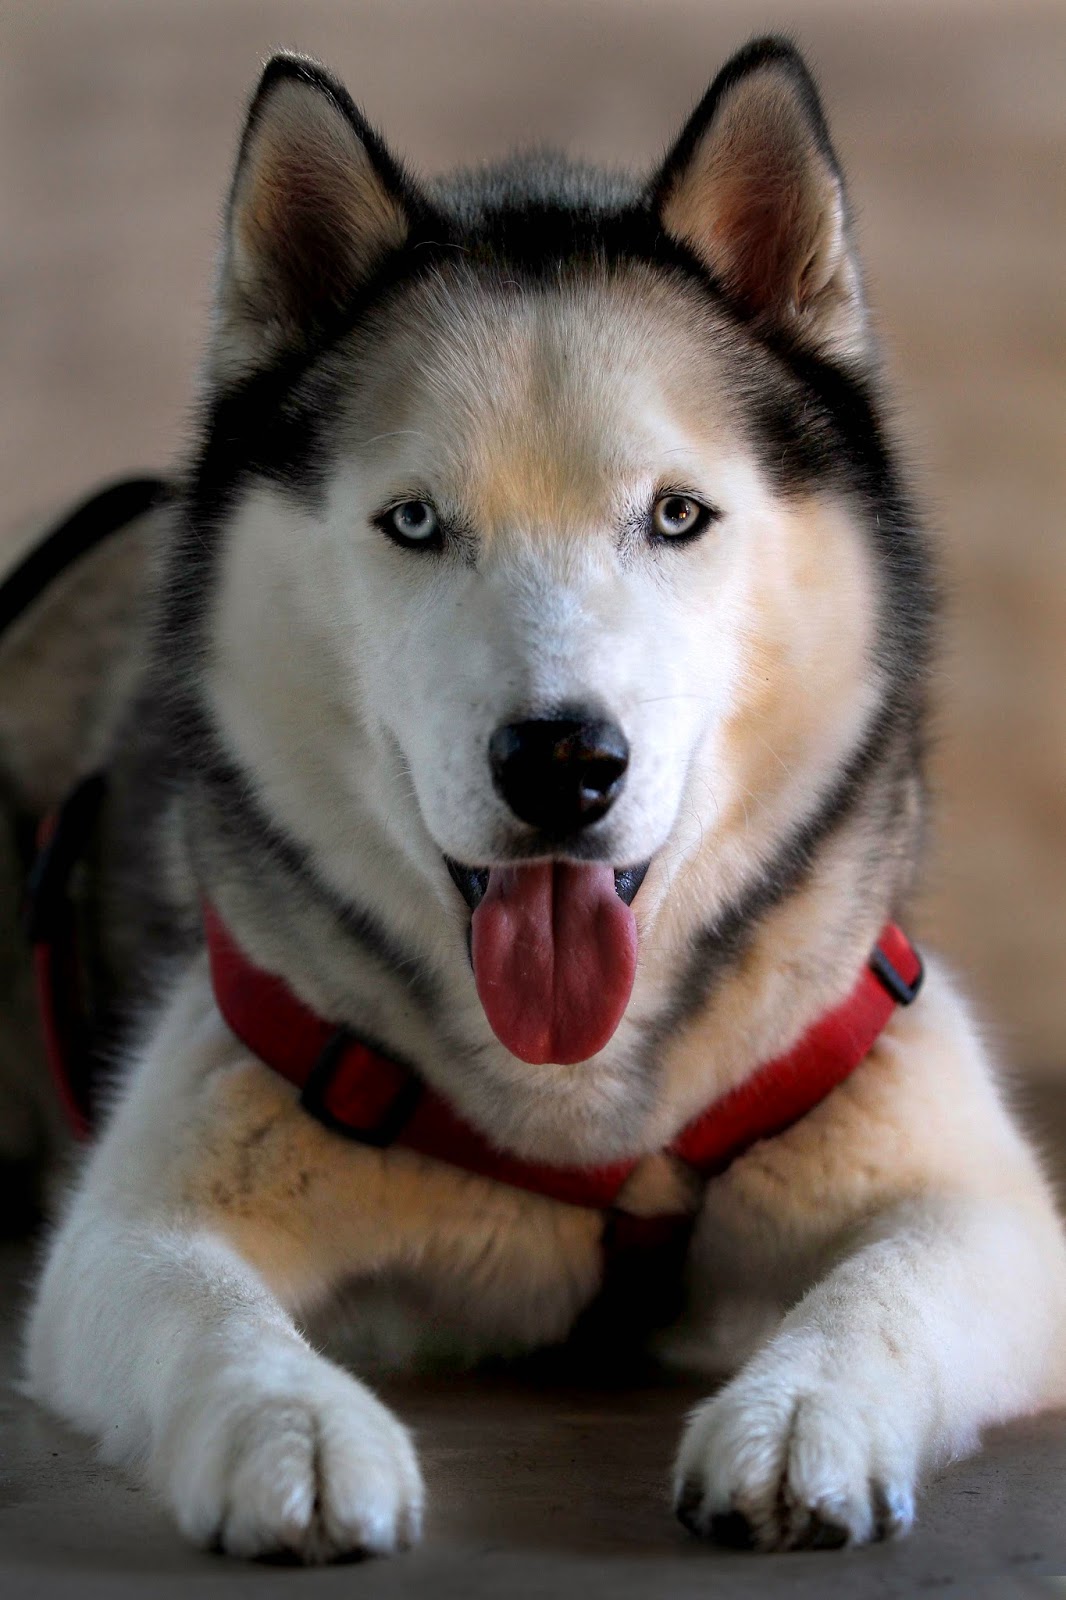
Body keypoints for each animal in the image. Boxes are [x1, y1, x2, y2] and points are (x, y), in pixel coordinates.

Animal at [4, 37, 1056, 1561]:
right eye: (415, 522)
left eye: (674, 515)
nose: (559, 759)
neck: (578, 1121)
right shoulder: (138, 1213)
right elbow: (203, 1310)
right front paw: (297, 1433)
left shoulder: (968, 1192)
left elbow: (890, 1286)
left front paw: (799, 1413)